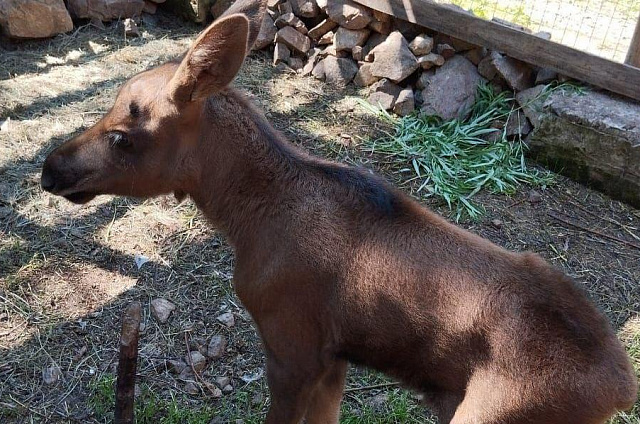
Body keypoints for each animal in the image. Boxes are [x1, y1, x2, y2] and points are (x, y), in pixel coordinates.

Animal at [40, 1, 636, 422]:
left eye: (123, 135)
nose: (50, 169)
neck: (244, 218)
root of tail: (621, 389)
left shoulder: (294, 349)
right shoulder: (336, 359)